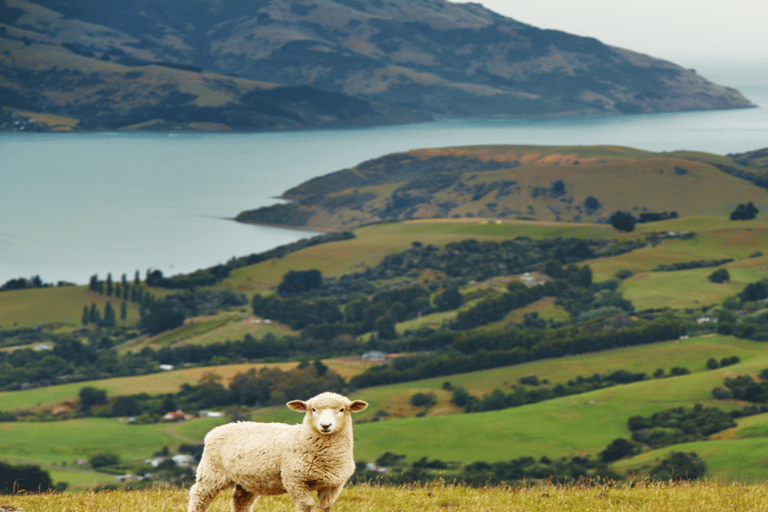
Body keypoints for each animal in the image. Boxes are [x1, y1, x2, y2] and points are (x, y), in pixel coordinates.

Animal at [186, 392, 366, 512]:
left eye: (342, 409)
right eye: (313, 409)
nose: (325, 425)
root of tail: (217, 429)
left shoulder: (333, 485)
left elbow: (325, 507)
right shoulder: (295, 480)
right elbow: (306, 505)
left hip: (247, 479)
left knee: (241, 500)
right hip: (211, 472)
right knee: (199, 497)